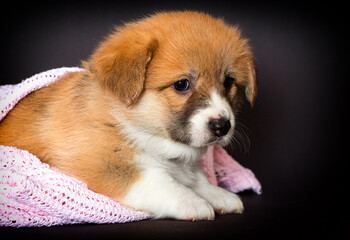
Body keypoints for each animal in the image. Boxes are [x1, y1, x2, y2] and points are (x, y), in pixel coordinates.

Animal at [0, 11, 258, 221]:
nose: (222, 126)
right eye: (182, 84)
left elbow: (197, 178)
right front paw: (192, 202)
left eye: (228, 82)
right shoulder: (102, 165)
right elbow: (161, 182)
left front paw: (219, 195)